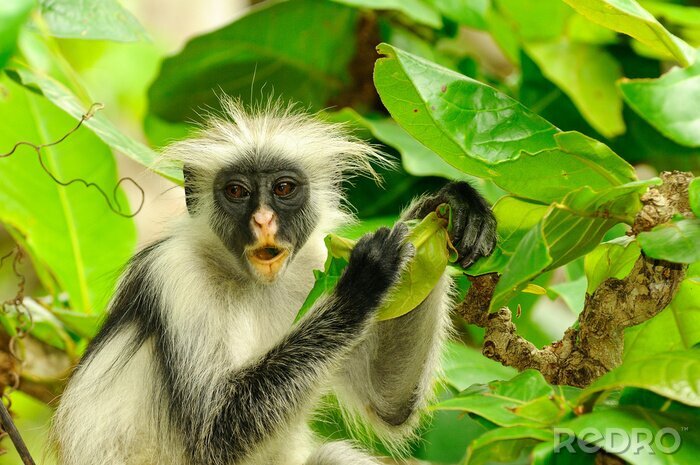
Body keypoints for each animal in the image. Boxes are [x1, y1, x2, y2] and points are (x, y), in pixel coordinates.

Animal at [51, 98, 497, 465]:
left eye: (283, 188)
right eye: (236, 191)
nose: (263, 220)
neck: (252, 283)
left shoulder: (314, 261)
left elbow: (391, 401)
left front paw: (441, 210)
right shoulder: (175, 273)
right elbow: (215, 433)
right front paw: (362, 284)